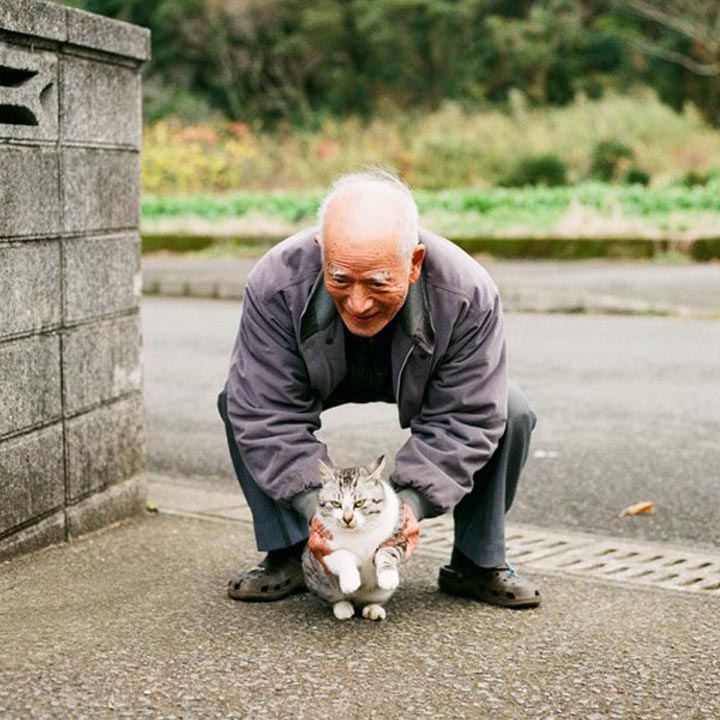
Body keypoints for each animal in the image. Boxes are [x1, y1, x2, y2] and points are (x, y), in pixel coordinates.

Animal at [300, 456, 404, 620]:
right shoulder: (322, 547)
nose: (347, 519)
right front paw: (350, 581)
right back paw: (343, 608)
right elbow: (343, 555)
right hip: (321, 584)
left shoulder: (397, 537)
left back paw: (373, 609)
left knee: (372, 600)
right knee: (336, 598)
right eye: (336, 504)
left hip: (380, 594)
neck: (359, 532)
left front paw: (388, 577)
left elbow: (387, 552)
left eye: (359, 503)